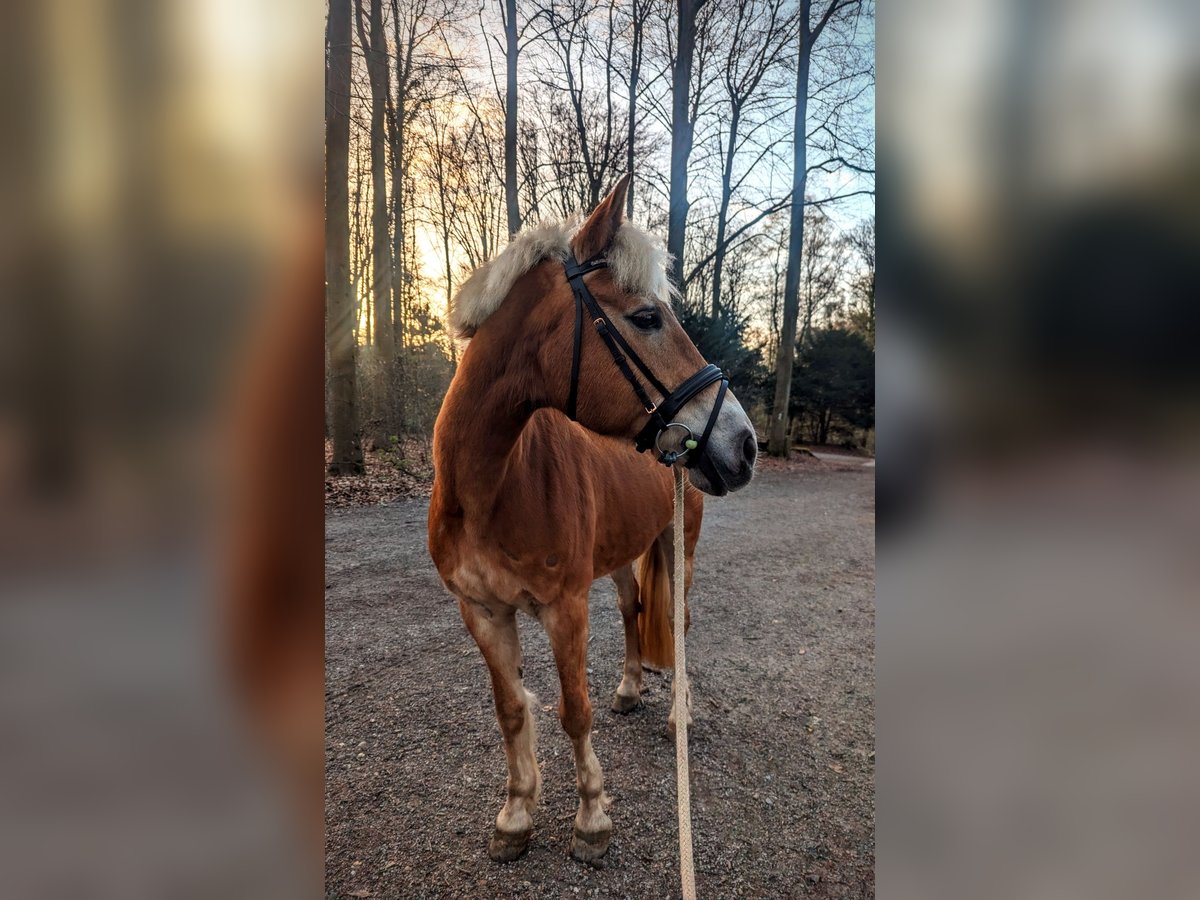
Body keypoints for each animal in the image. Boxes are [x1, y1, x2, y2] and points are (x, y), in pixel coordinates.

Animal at [427, 174, 753, 868]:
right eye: (648, 317)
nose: (743, 445)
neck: (493, 485)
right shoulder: (482, 610)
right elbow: (511, 711)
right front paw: (516, 815)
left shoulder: (565, 607)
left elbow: (573, 710)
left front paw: (592, 819)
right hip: (623, 555)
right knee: (633, 610)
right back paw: (630, 690)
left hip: (677, 544)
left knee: (678, 622)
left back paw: (678, 713)